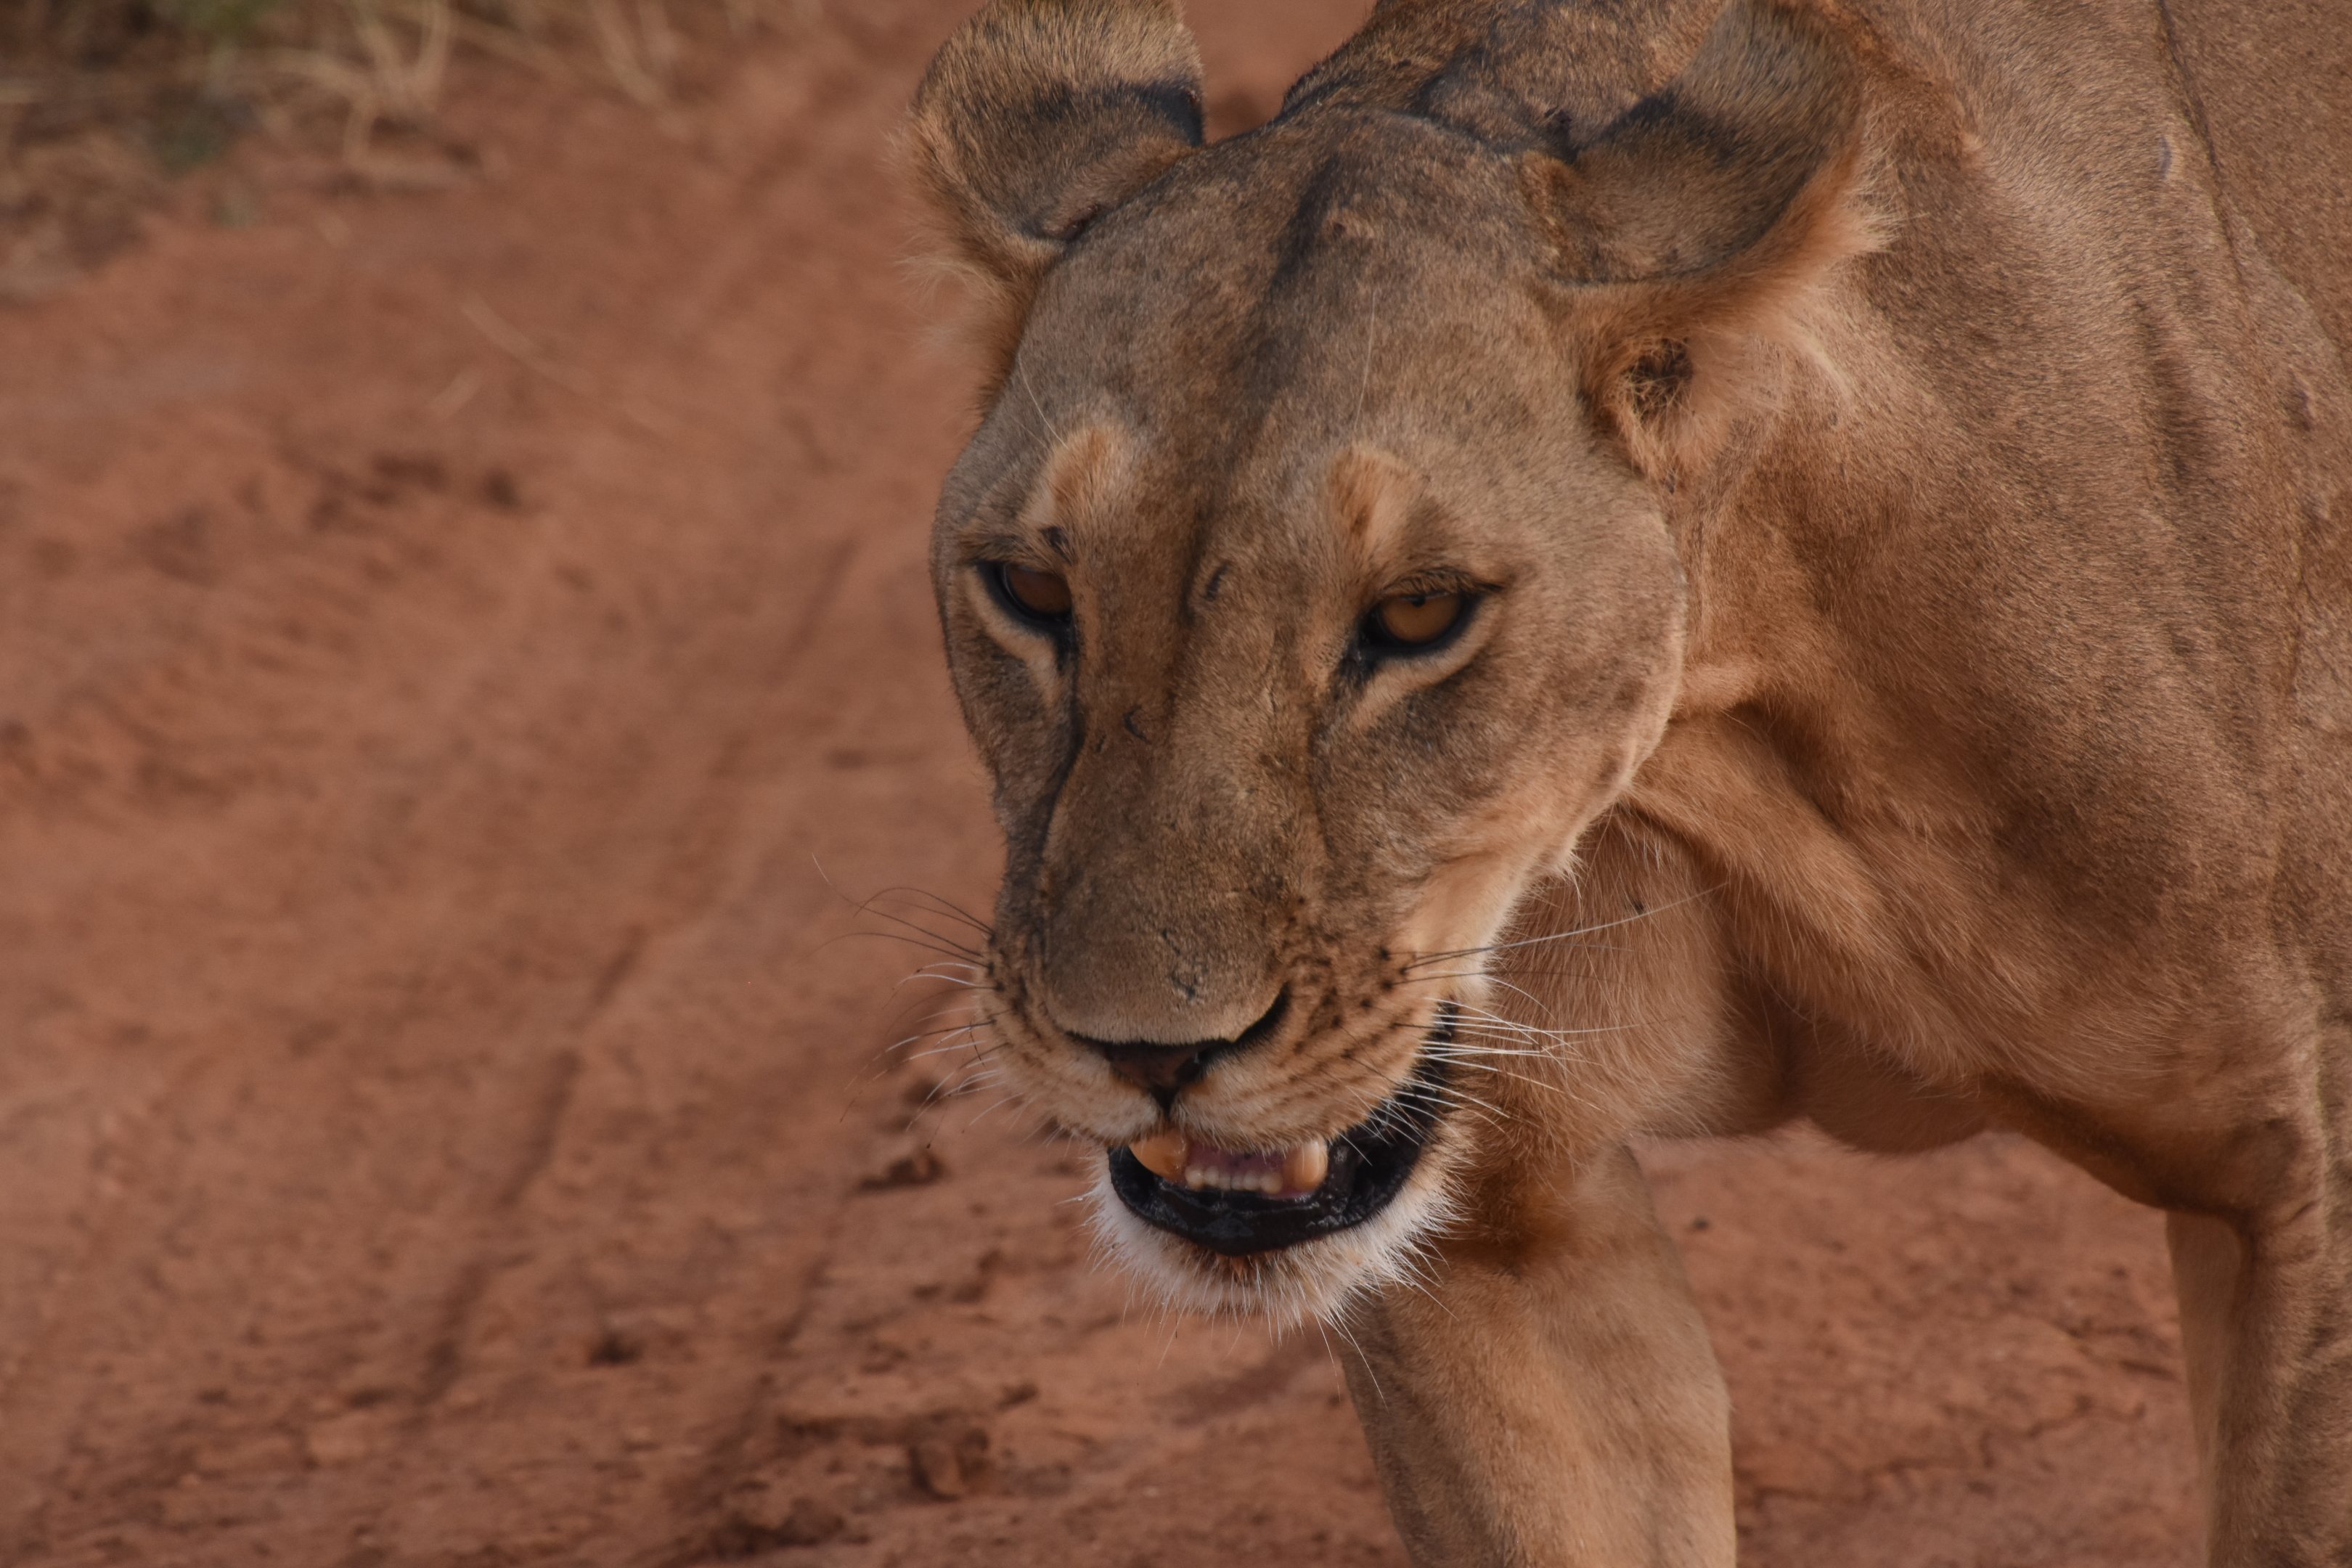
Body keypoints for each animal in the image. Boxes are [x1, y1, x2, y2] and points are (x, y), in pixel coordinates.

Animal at [902, 0, 2352, 1561]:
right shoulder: (1498, 1234)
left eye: (1420, 613)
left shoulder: (2306, 1184)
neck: (1741, 729)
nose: (1147, 1055)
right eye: (1030, 590)